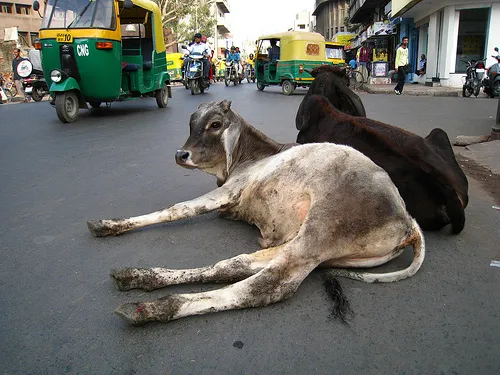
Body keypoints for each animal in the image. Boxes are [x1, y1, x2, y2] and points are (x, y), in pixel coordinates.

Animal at [87, 100, 426, 326]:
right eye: (191, 123)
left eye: (215, 124)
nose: (181, 154)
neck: (250, 156)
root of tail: (408, 219)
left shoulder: (229, 191)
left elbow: (177, 210)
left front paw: (112, 223)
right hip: (308, 246)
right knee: (233, 266)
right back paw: (139, 276)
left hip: (321, 232)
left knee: (266, 286)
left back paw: (153, 308)